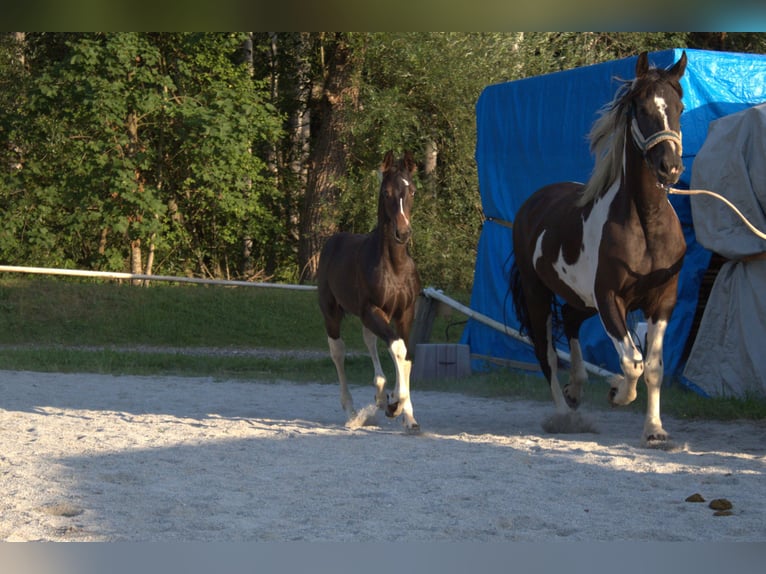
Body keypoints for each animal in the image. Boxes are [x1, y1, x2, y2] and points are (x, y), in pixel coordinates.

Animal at [317, 150, 422, 432]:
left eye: (412, 191)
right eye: (386, 192)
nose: (403, 232)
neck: (394, 266)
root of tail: (334, 240)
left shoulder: (405, 313)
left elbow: (406, 357)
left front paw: (406, 415)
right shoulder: (373, 310)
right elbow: (397, 348)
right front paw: (395, 403)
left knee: (370, 342)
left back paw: (380, 396)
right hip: (332, 313)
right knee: (338, 352)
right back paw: (353, 412)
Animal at [510, 51, 688, 445]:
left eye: (679, 107)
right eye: (642, 109)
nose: (670, 167)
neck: (646, 226)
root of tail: (533, 202)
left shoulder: (663, 300)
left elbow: (653, 366)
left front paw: (655, 429)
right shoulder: (609, 298)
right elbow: (632, 362)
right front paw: (618, 392)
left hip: (581, 298)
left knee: (571, 320)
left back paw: (577, 388)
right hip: (537, 294)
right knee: (546, 354)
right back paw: (564, 414)